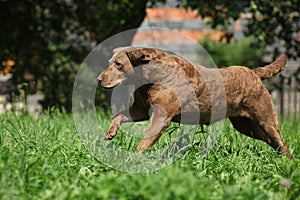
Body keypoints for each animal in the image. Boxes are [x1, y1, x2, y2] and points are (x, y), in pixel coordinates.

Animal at [98, 47, 290, 158]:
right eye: (109, 63)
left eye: (118, 64)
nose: (99, 79)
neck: (151, 76)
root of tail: (253, 72)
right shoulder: (141, 110)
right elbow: (118, 116)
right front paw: (110, 133)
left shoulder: (161, 116)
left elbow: (146, 140)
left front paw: (135, 158)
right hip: (245, 125)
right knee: (272, 141)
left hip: (265, 118)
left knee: (281, 141)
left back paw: (287, 164)